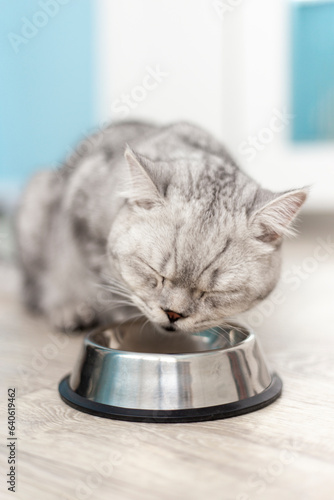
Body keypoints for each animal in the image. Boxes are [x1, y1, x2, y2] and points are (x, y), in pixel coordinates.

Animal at [15, 119, 308, 334]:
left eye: (216, 292)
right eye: (155, 273)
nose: (173, 314)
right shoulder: (82, 228)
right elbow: (106, 285)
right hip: (36, 205)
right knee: (37, 289)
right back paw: (68, 309)